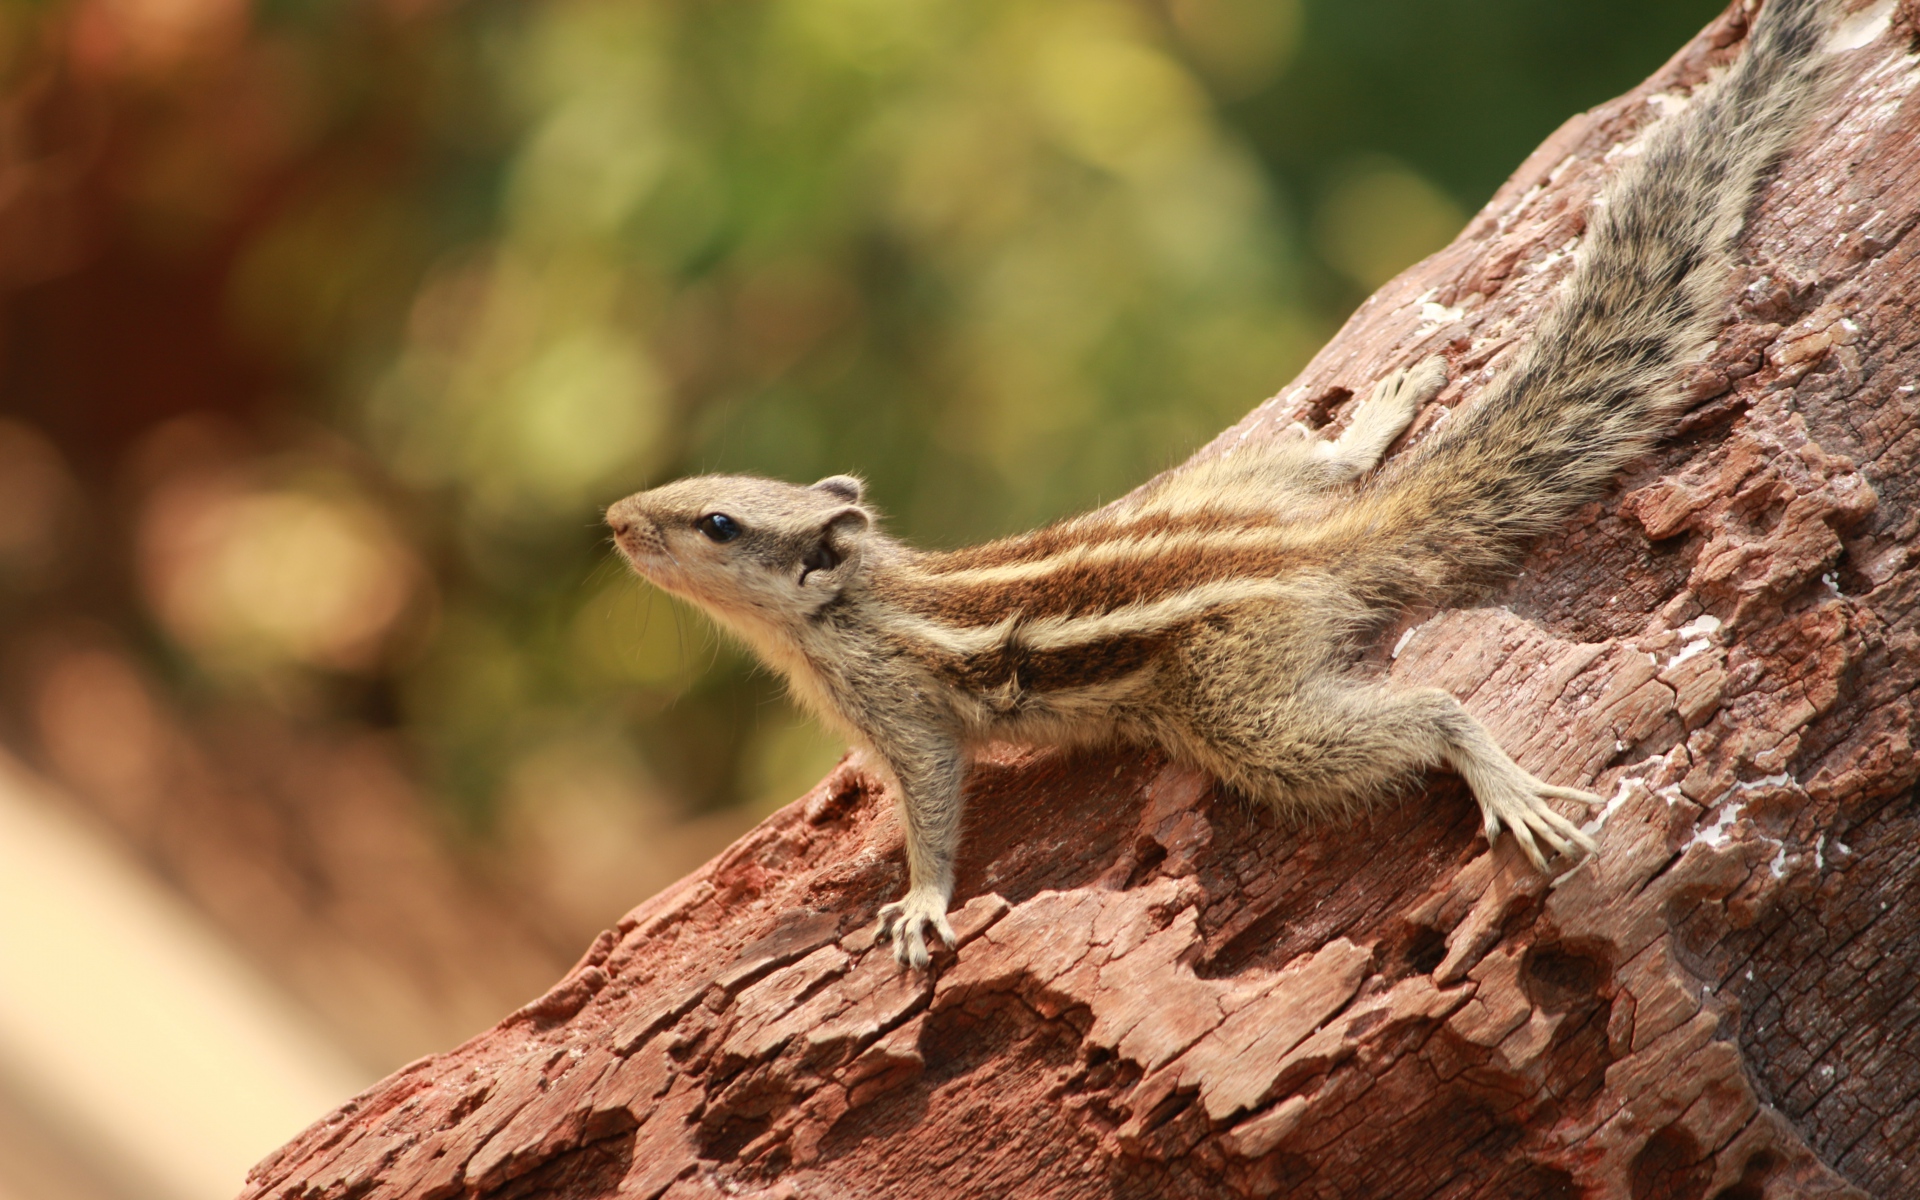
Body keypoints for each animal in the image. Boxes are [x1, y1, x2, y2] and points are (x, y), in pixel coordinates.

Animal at [607, 0, 1841, 968]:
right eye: (693, 485)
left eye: (715, 521)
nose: (614, 521)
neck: (847, 605)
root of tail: (1296, 551)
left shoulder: (902, 712)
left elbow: (936, 807)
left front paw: (918, 901)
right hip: (1225, 484)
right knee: (1320, 463)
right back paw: (1376, 414)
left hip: (1244, 709)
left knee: (1426, 708)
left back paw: (1496, 777)